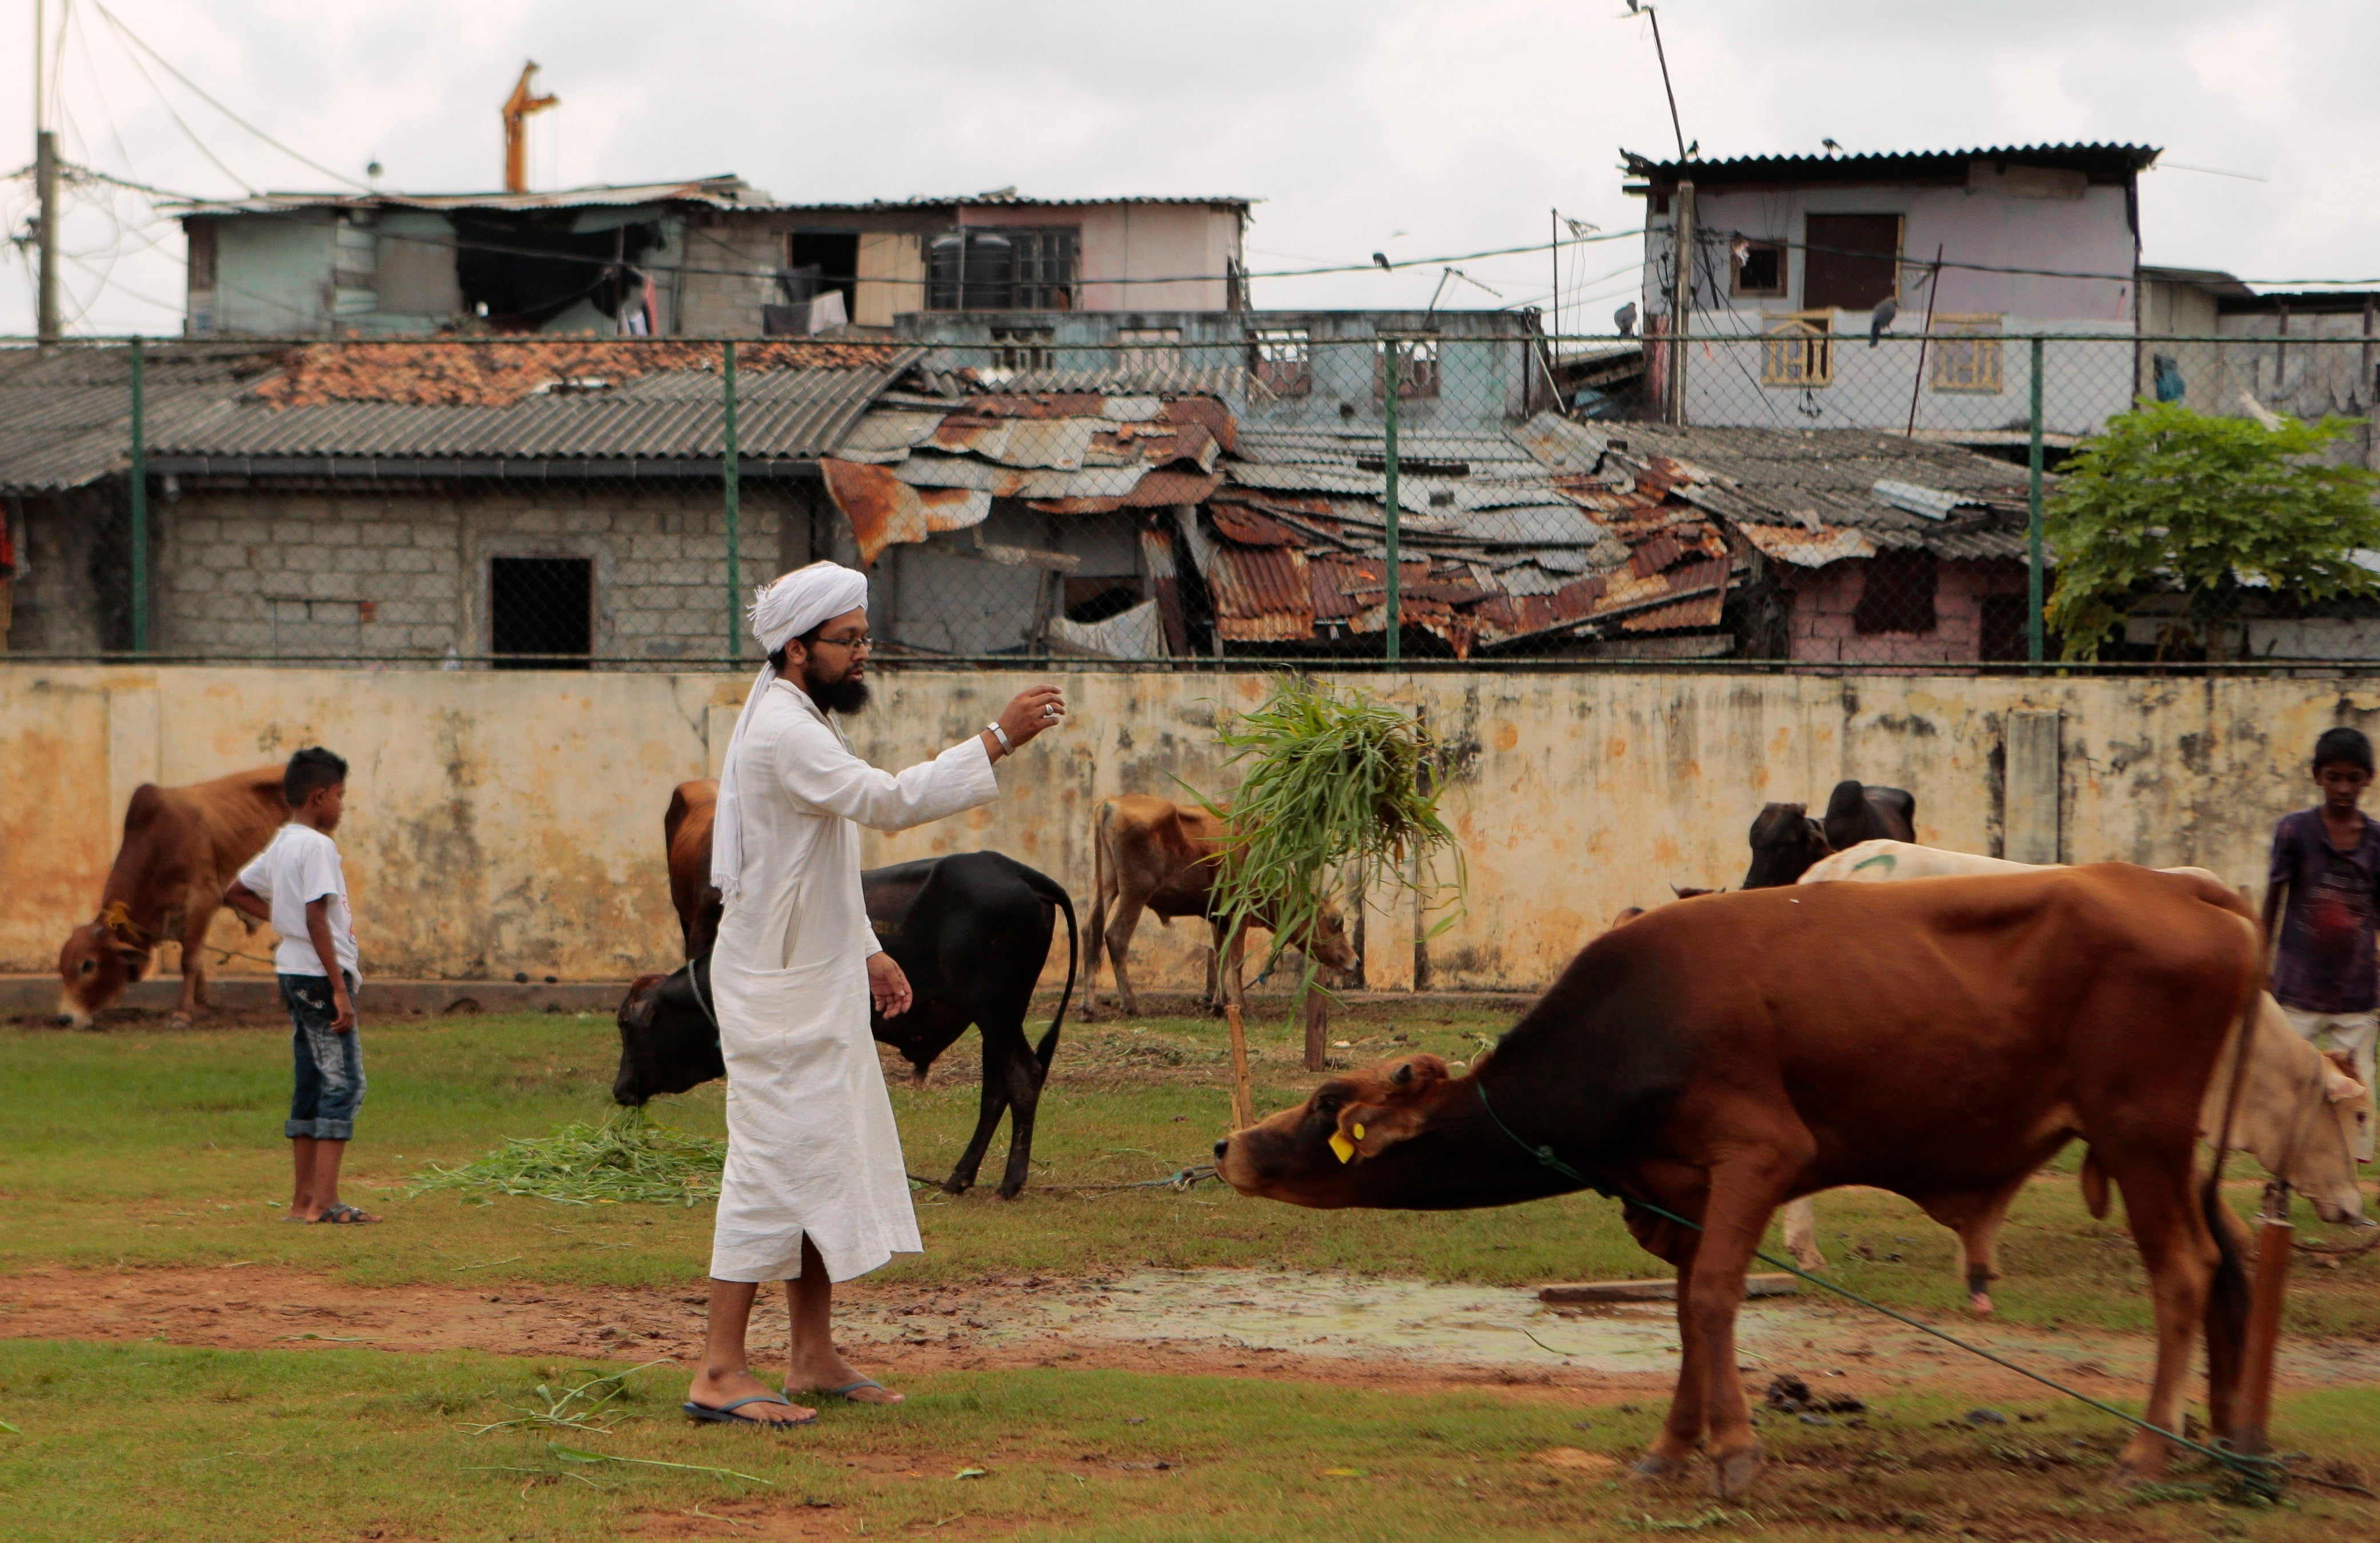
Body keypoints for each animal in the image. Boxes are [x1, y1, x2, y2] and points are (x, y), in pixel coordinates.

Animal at [58, 766, 287, 1028]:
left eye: (88, 965)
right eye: (62, 965)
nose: (64, 1018)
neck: (159, 842)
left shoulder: (203, 898)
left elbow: (189, 960)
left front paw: (182, 1014)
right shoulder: (176, 917)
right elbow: (195, 959)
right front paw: (202, 1005)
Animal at [623, 848, 1090, 1200]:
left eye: (630, 1027)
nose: (620, 1090)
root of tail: (1017, 871)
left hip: (997, 1012)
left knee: (1022, 1077)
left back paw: (1010, 1183)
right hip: (998, 1019)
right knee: (997, 1088)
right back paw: (961, 1177)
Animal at [1085, 795, 1352, 1024]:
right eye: (1336, 921)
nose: (1355, 961)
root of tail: (1111, 804)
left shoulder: (1219, 918)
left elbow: (1220, 957)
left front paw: (1219, 1005)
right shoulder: (1239, 916)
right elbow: (1236, 961)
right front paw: (1242, 1006)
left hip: (1105, 886)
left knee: (1090, 932)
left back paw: (1088, 1008)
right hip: (1135, 893)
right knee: (1116, 937)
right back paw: (1130, 1004)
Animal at [1218, 876, 2256, 1505]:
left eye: (1326, 1102)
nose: (1230, 1144)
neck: (1625, 1029)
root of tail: (2176, 885)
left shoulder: (1759, 1156)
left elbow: (1716, 1299)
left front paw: (1733, 1449)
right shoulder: (1677, 1197)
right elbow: (1686, 1311)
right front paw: (1674, 1446)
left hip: (2137, 1135)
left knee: (2182, 1274)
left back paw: (2149, 1452)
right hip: (2175, 1153)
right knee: (2230, 1263)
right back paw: (2229, 1444)